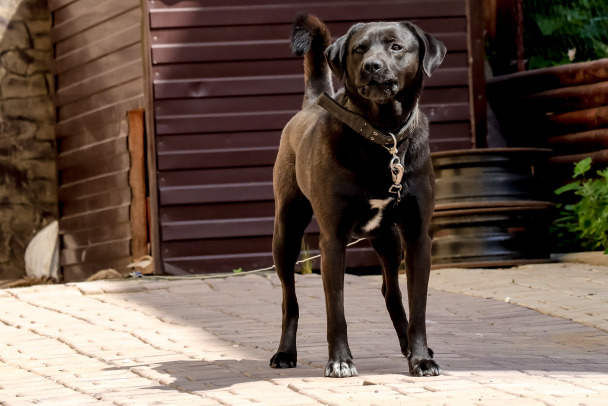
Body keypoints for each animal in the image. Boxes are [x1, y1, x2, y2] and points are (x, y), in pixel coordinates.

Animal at [270, 15, 446, 378]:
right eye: (359, 49)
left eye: (396, 46)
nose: (372, 66)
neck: (383, 136)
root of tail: (311, 102)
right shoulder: (332, 240)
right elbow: (335, 308)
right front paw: (340, 360)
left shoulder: (417, 237)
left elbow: (418, 306)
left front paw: (421, 358)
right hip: (286, 233)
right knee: (289, 300)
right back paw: (285, 352)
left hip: (389, 240)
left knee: (391, 292)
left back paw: (407, 347)